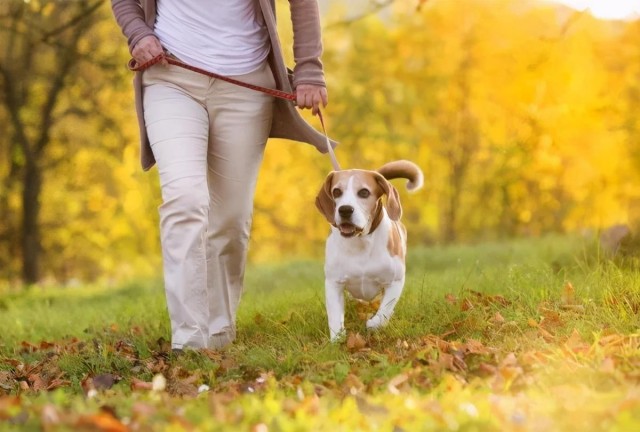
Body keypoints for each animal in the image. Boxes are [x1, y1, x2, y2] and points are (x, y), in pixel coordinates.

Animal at [316, 159, 424, 340]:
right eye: (336, 191)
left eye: (364, 192)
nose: (345, 209)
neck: (361, 241)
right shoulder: (333, 283)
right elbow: (335, 316)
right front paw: (337, 339)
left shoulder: (395, 281)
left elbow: (385, 309)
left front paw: (374, 323)